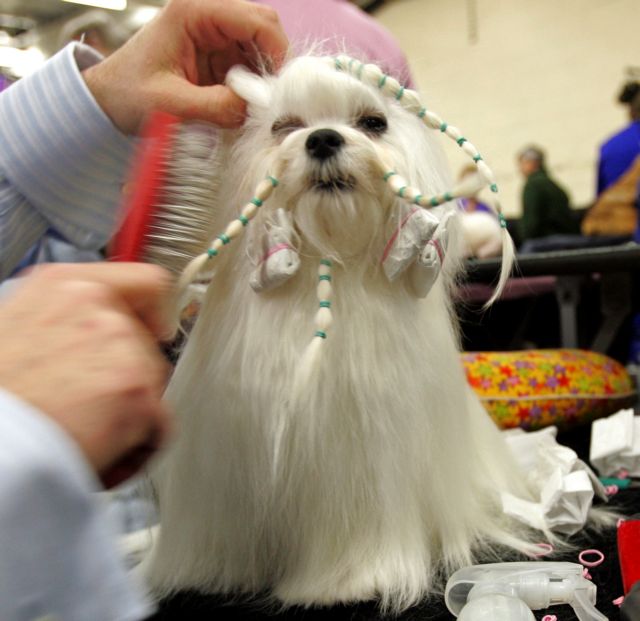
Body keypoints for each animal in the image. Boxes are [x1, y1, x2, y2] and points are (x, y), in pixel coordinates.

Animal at [146, 53, 544, 612]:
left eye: (372, 123)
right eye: (285, 127)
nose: (322, 139)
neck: (328, 252)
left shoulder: (361, 464)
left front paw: (349, 583)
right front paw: (217, 575)